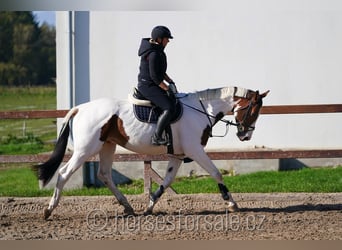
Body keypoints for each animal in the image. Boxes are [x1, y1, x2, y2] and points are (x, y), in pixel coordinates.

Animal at [34, 86, 270, 219]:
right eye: (253, 110)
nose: (245, 136)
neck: (202, 109)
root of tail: (79, 108)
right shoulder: (195, 150)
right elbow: (216, 173)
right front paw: (231, 203)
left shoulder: (177, 156)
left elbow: (166, 181)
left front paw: (149, 206)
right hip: (86, 149)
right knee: (64, 173)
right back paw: (48, 210)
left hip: (107, 145)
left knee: (104, 174)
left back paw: (128, 207)